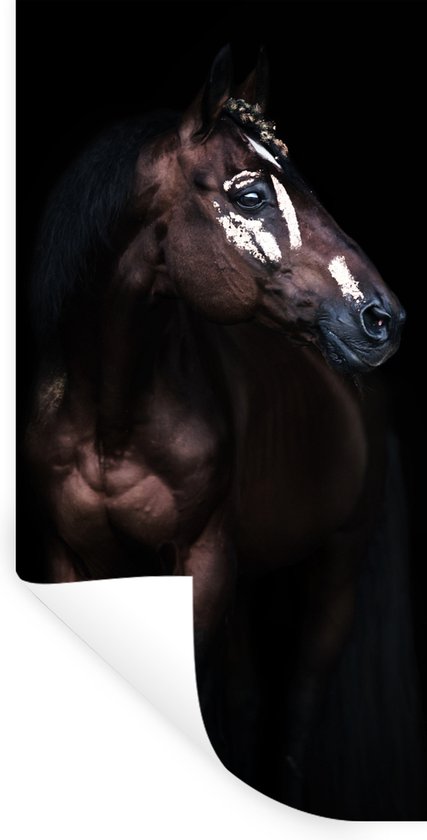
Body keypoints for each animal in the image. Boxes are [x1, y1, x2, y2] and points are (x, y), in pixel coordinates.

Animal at [23, 47, 425, 818]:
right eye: (250, 196)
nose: (382, 319)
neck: (111, 421)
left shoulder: (200, 568)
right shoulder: (68, 560)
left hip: (335, 569)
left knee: (293, 711)